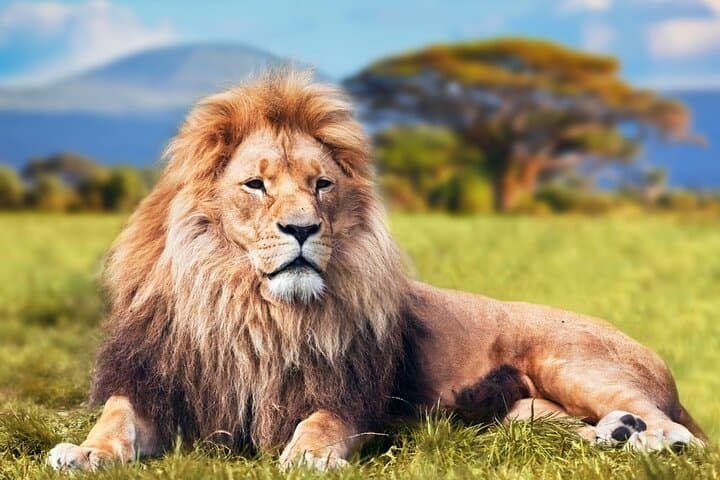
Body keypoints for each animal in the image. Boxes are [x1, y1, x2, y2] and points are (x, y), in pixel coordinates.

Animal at [49, 71, 706, 471]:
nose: (302, 229)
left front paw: (308, 457)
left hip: (570, 361)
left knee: (682, 433)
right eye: (256, 184)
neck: (252, 310)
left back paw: (649, 439)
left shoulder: (347, 397)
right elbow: (115, 419)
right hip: (522, 413)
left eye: (321, 185)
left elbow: (320, 423)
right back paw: (615, 435)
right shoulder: (154, 383)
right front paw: (82, 453)